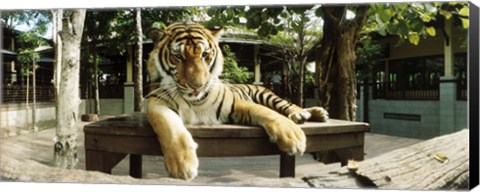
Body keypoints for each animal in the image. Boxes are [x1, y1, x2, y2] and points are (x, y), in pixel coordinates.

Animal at [144, 21, 328, 181]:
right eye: (178, 56)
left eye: (204, 54)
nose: (198, 85)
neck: (196, 101)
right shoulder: (157, 102)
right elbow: (170, 128)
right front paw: (182, 165)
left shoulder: (235, 104)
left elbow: (268, 113)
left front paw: (293, 136)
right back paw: (317, 114)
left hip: (267, 96)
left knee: (288, 106)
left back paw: (307, 114)